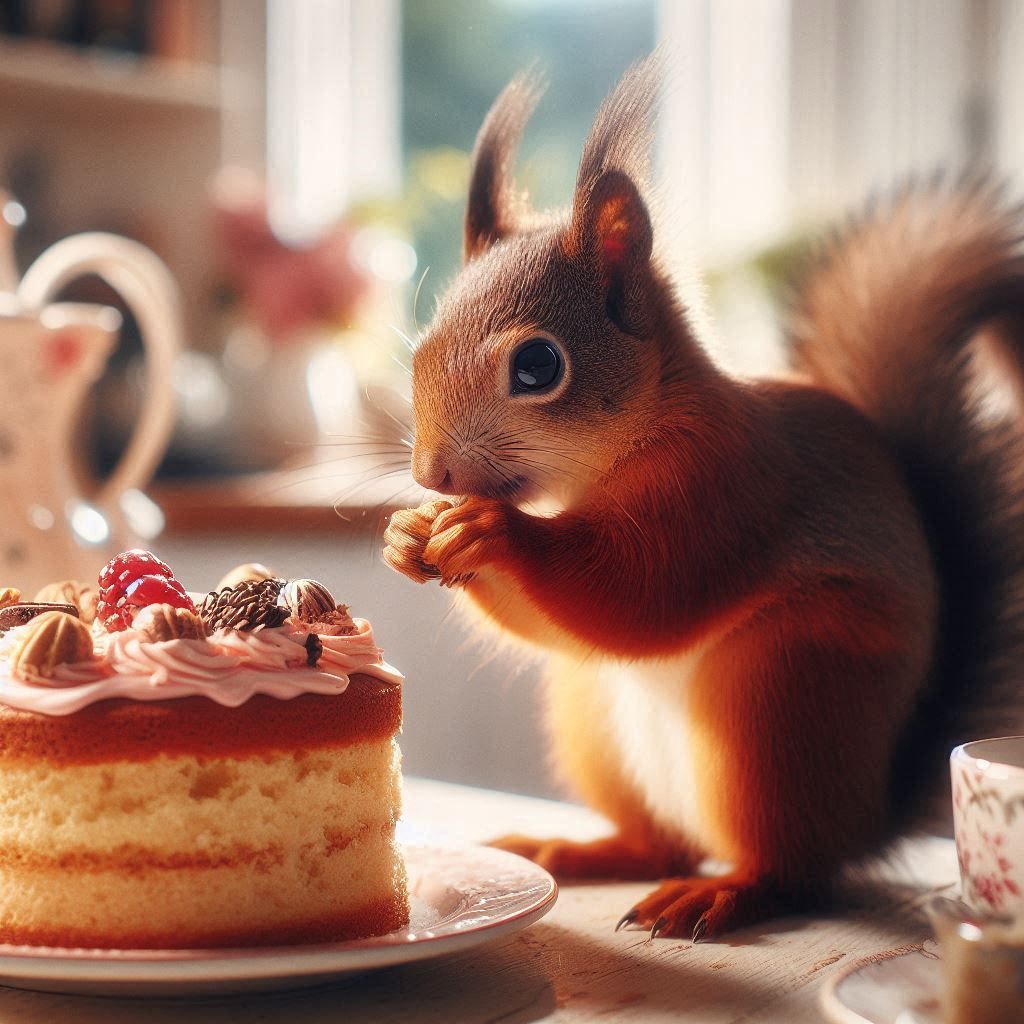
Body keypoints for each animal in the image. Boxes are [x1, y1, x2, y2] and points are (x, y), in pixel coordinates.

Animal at [382, 55, 1024, 941]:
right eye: (419, 350)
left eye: (539, 366)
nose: (434, 476)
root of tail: (867, 812)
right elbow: (565, 623)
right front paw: (408, 534)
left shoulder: (725, 486)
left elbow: (645, 590)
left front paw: (497, 534)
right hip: (594, 720)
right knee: (664, 842)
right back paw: (574, 850)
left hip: (779, 698)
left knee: (788, 868)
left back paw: (723, 893)